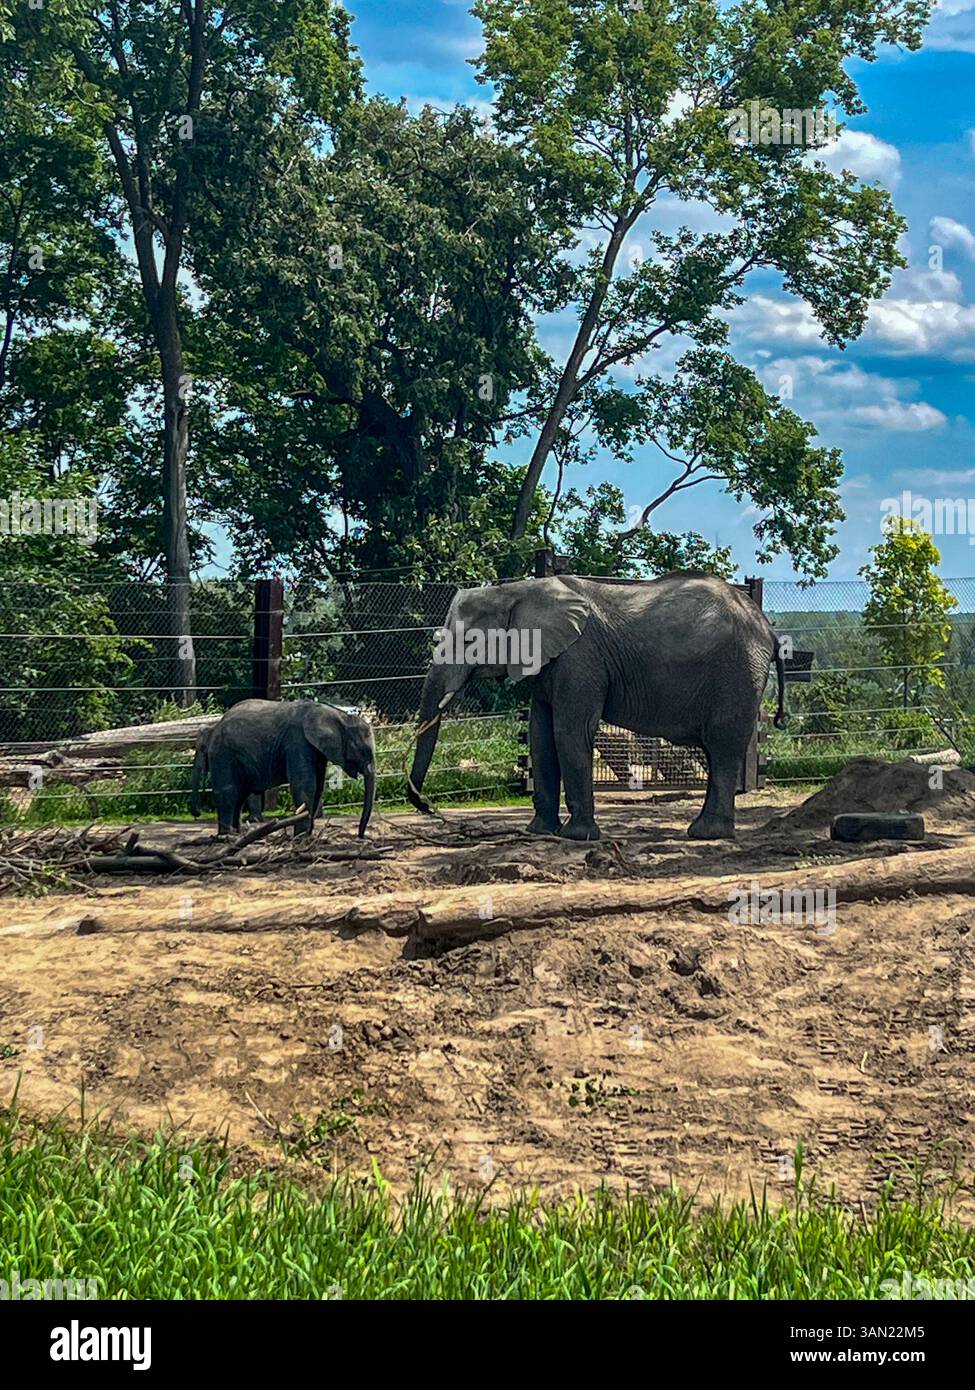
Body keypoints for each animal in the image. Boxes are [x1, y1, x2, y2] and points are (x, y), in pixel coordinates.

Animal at [190, 698, 376, 837]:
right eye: (364, 751)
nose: (360, 835)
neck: (338, 715)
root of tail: (216, 727)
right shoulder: (297, 742)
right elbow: (305, 785)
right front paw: (301, 837)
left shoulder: (315, 749)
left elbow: (318, 787)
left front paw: (308, 835)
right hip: (224, 753)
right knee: (228, 792)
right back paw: (226, 836)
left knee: (239, 795)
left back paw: (236, 834)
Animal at [406, 571, 786, 842]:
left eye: (470, 640)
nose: (428, 807)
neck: (519, 590)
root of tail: (767, 626)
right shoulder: (550, 661)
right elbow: (540, 736)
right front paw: (539, 832)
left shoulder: (580, 658)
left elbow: (569, 732)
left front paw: (576, 837)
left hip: (737, 671)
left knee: (722, 745)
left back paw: (705, 833)